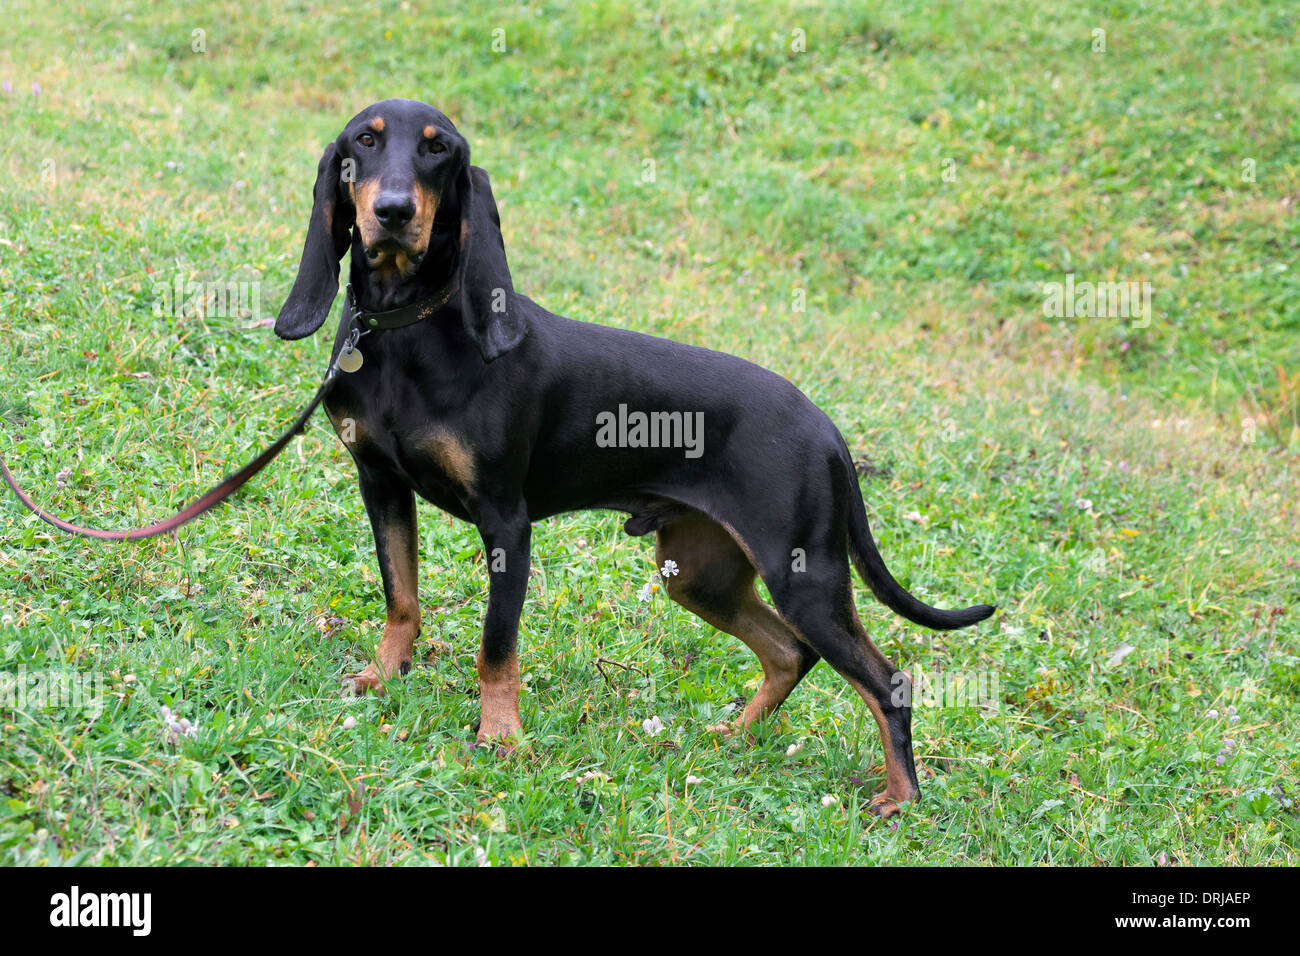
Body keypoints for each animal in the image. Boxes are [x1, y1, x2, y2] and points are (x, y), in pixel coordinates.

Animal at [274, 98, 993, 816]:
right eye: (365, 141)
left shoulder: (506, 522)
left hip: (804, 576)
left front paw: (501, 735)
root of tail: (827, 429)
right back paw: (735, 735)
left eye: (437, 149)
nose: (393, 211)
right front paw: (384, 674)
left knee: (887, 680)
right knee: (792, 653)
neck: (409, 332)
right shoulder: (380, 484)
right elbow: (402, 598)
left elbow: (496, 646)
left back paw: (898, 797)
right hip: (700, 574)